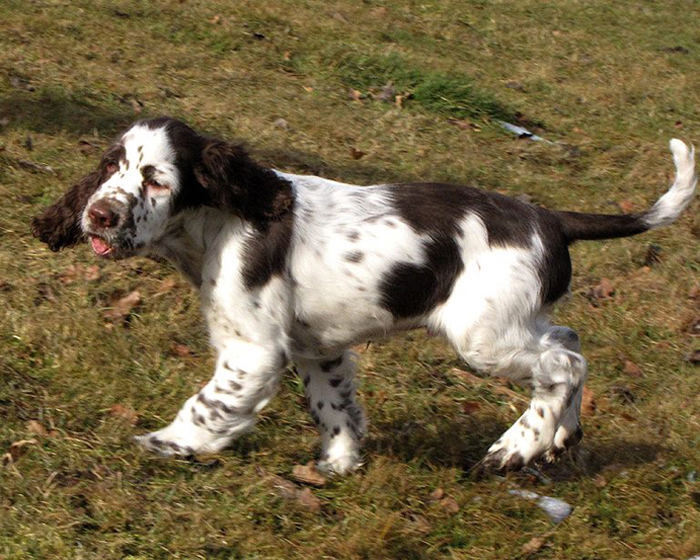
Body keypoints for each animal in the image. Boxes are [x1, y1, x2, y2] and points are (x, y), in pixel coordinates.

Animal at [31, 117, 696, 472]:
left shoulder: (253, 351)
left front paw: (168, 443)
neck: (219, 220)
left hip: (483, 337)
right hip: (515, 322)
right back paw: (562, 436)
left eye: (154, 179)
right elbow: (334, 405)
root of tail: (552, 219)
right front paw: (339, 463)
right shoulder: (316, 347)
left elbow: (209, 405)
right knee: (570, 340)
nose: (98, 215)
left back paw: (515, 448)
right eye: (110, 166)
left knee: (563, 364)